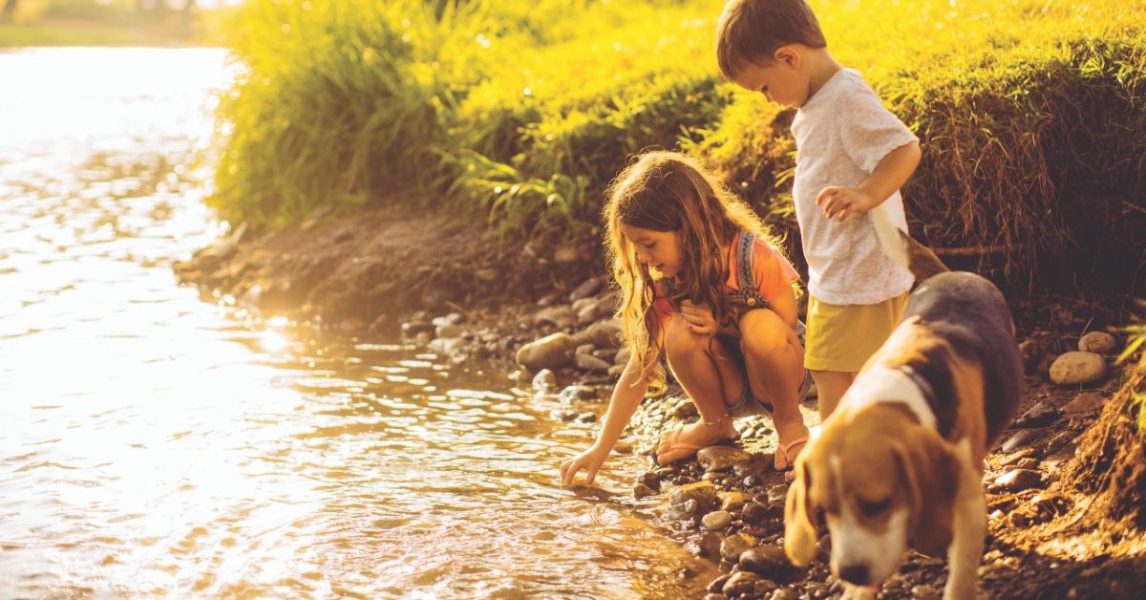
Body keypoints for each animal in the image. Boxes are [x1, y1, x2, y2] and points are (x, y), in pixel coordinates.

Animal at [783, 271, 1026, 600]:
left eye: (878, 505)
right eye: (823, 510)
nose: (850, 573)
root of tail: (952, 273)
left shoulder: (968, 505)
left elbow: (961, 571)